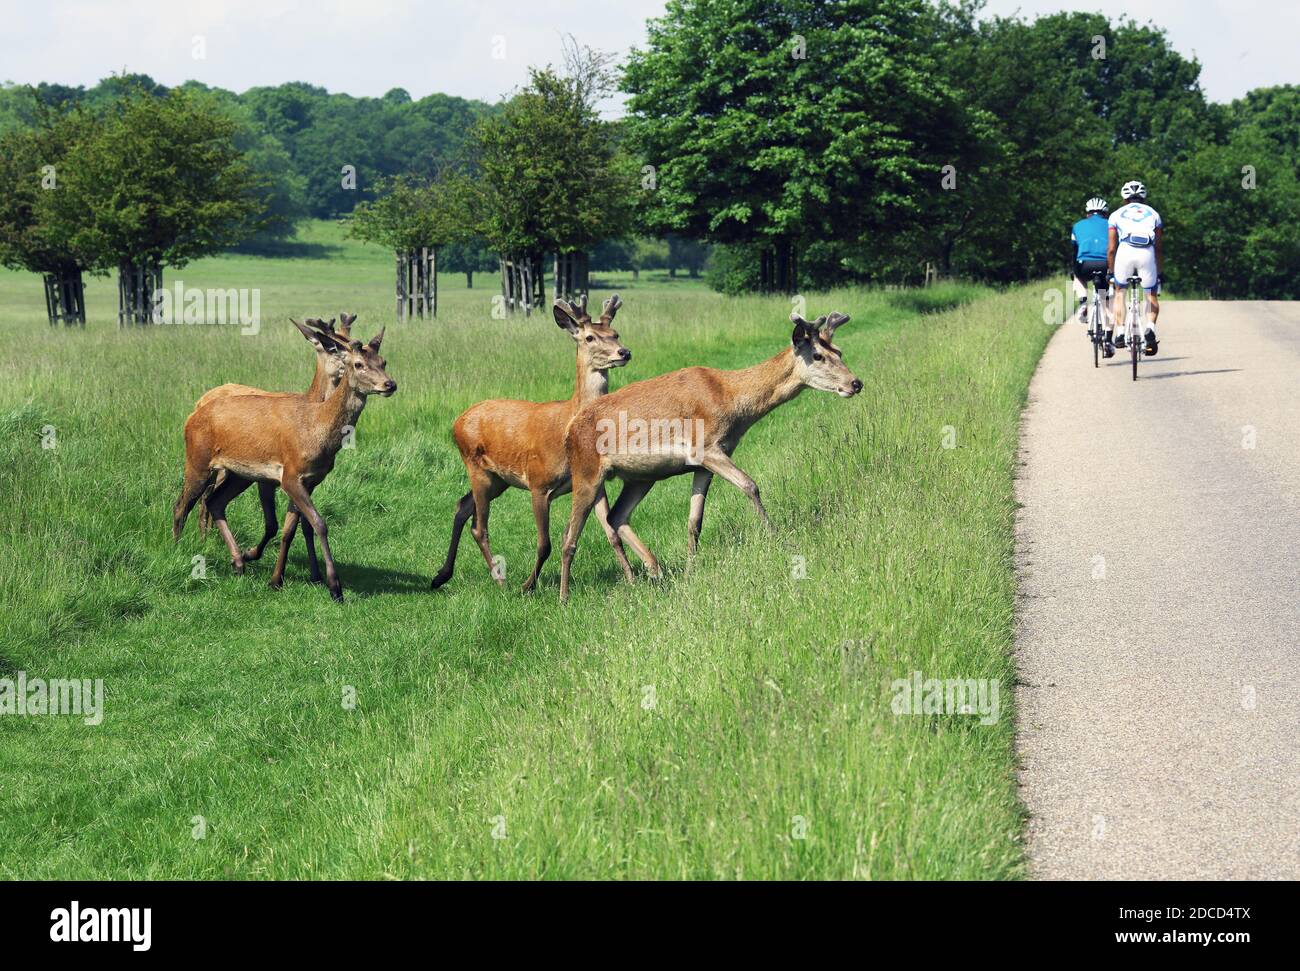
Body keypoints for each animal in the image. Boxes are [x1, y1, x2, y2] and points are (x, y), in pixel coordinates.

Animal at [174, 326, 395, 600]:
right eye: (358, 364)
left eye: (383, 361)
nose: (390, 384)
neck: (316, 430)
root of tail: (191, 416)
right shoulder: (290, 475)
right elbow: (319, 524)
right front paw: (335, 587)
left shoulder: (309, 480)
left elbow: (290, 529)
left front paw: (276, 580)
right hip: (198, 460)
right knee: (182, 505)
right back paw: (177, 549)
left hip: (240, 474)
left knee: (215, 502)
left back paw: (238, 562)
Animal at [428, 292, 650, 592]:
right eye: (590, 337)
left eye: (615, 333)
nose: (623, 352)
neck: (567, 429)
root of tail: (457, 423)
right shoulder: (538, 483)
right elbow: (545, 543)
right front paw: (528, 586)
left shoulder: (594, 481)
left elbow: (611, 532)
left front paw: (630, 578)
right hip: (477, 468)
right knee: (479, 526)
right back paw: (500, 580)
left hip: (498, 479)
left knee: (461, 506)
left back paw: (441, 575)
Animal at [553, 309, 857, 600]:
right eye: (818, 355)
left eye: (840, 351)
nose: (856, 383)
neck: (732, 401)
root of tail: (569, 431)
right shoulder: (707, 446)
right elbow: (750, 485)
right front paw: (778, 539)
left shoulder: (703, 463)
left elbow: (694, 521)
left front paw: (691, 569)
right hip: (586, 471)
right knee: (569, 535)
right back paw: (565, 596)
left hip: (640, 477)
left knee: (615, 517)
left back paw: (653, 571)